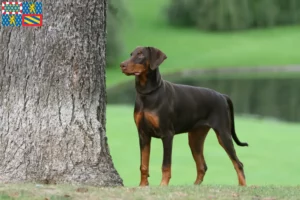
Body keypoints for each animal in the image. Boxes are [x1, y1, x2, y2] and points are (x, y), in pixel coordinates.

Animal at [119, 46, 248, 187]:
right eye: (131, 54)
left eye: (141, 55)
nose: (122, 65)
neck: (148, 94)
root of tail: (222, 96)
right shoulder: (143, 134)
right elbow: (143, 164)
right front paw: (143, 185)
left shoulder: (167, 134)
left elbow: (166, 164)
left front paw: (163, 185)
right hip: (195, 138)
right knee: (202, 166)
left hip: (223, 134)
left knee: (238, 163)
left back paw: (242, 186)